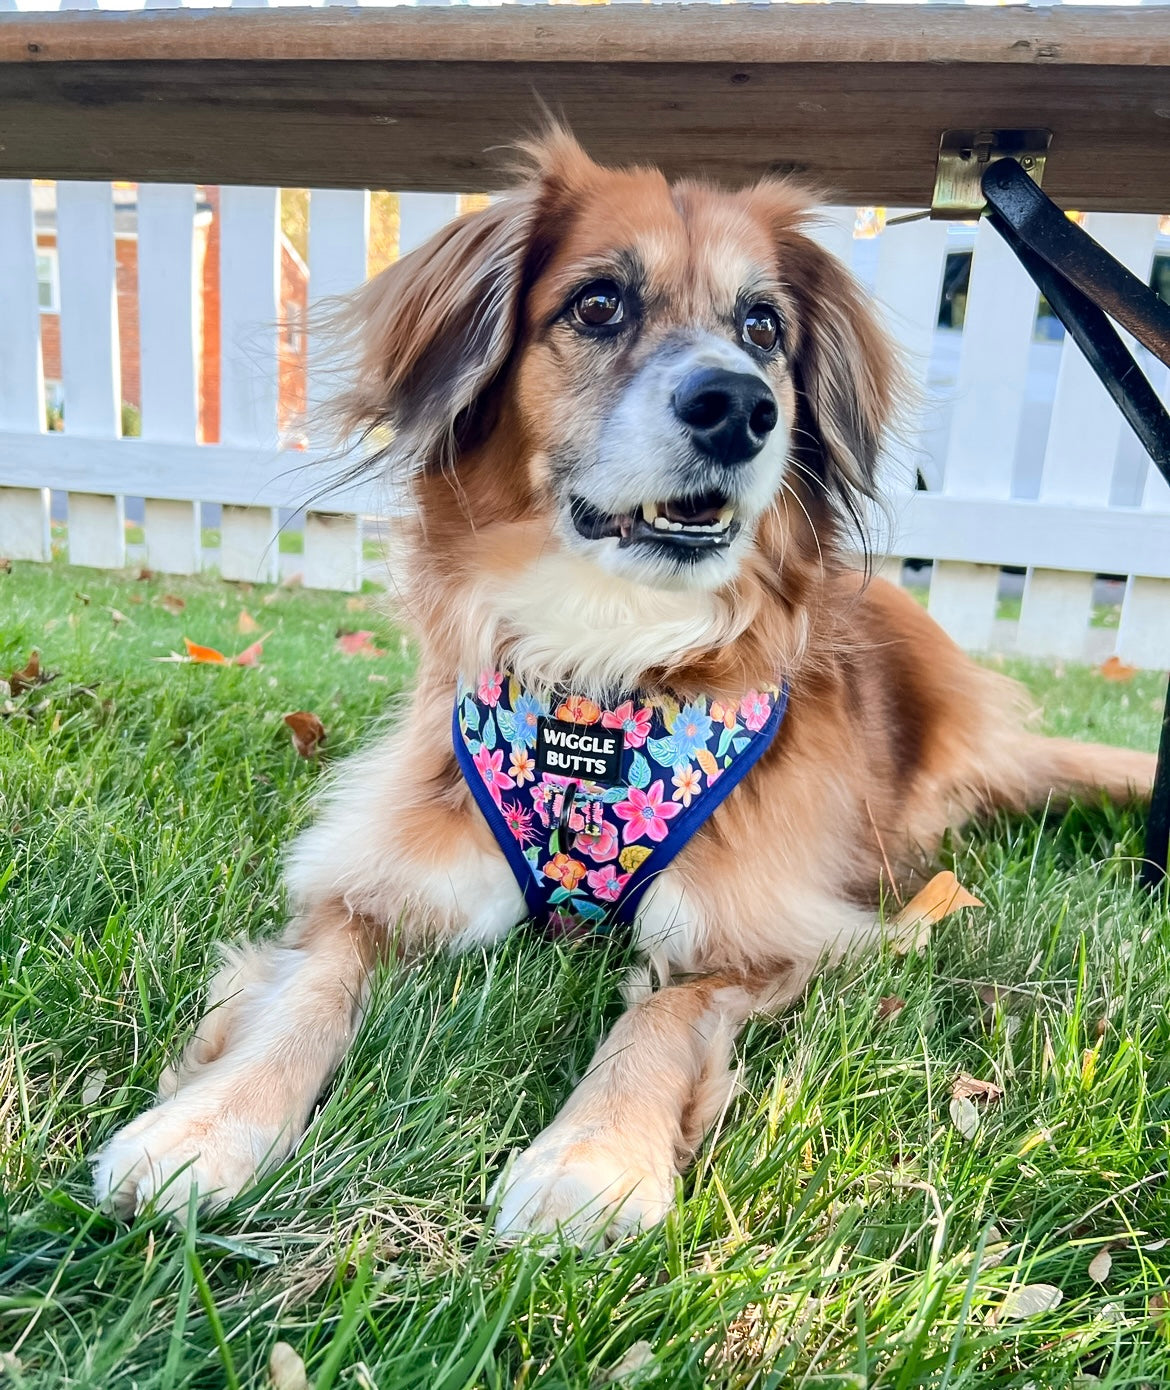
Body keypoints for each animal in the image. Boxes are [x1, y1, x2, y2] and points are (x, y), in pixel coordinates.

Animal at [91, 127, 1150, 1239]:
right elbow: (306, 992)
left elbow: (661, 1013)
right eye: (598, 304)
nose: (739, 407)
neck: (602, 670)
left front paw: (593, 1156)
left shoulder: (762, 935)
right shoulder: (373, 885)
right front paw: (209, 1123)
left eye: (762, 326)